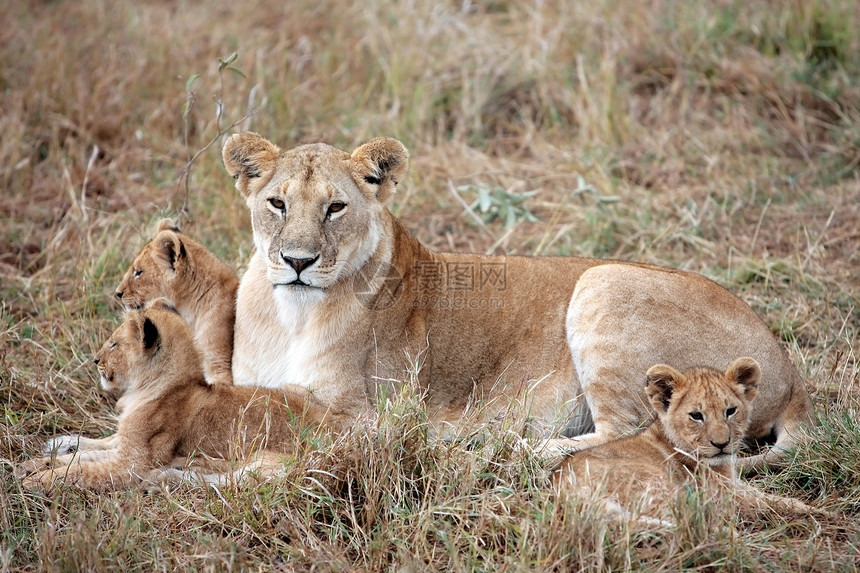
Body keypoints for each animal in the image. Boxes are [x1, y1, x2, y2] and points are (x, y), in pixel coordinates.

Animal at [222, 134, 812, 470]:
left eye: (335, 208)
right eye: (277, 204)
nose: (297, 261)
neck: (292, 314)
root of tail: (790, 376)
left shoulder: (365, 411)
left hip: (602, 280)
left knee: (639, 432)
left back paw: (509, 448)